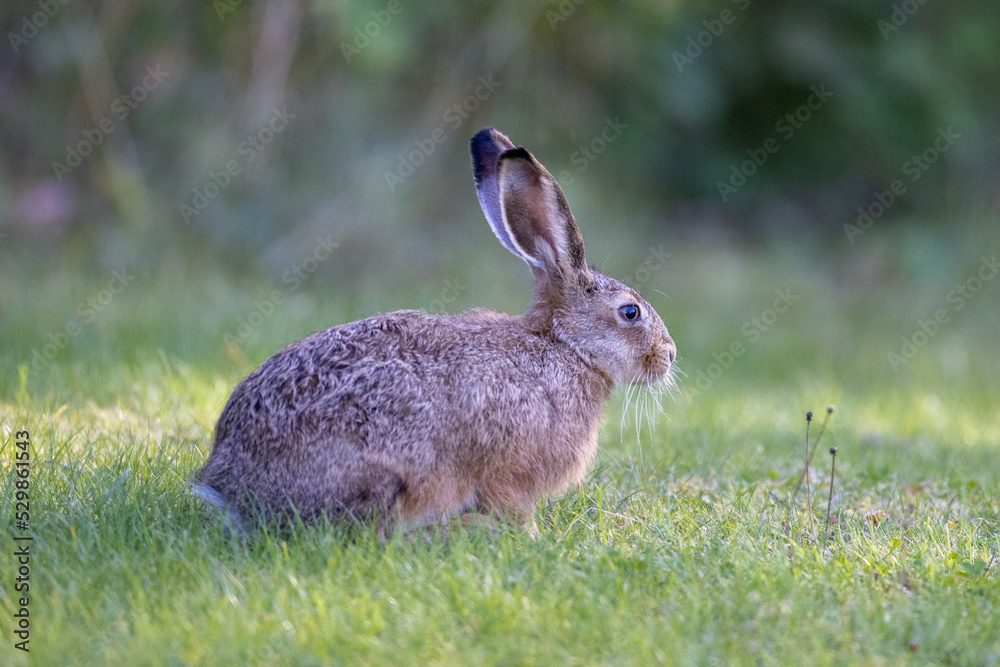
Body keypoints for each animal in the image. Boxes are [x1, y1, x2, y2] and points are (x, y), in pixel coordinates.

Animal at [193, 127, 677, 536]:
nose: (669, 354)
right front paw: (534, 539)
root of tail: (230, 489)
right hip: (398, 463)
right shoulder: (511, 473)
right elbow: (515, 508)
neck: (565, 347)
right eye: (630, 312)